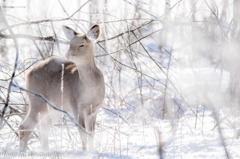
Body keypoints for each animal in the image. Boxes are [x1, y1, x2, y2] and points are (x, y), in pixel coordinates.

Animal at [18, 24, 104, 152]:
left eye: (81, 45)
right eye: (70, 43)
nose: (67, 55)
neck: (89, 88)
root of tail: (28, 75)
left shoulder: (95, 108)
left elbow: (91, 133)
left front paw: (91, 151)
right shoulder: (76, 104)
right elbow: (82, 133)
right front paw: (84, 152)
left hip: (52, 110)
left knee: (42, 129)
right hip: (37, 101)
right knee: (25, 127)